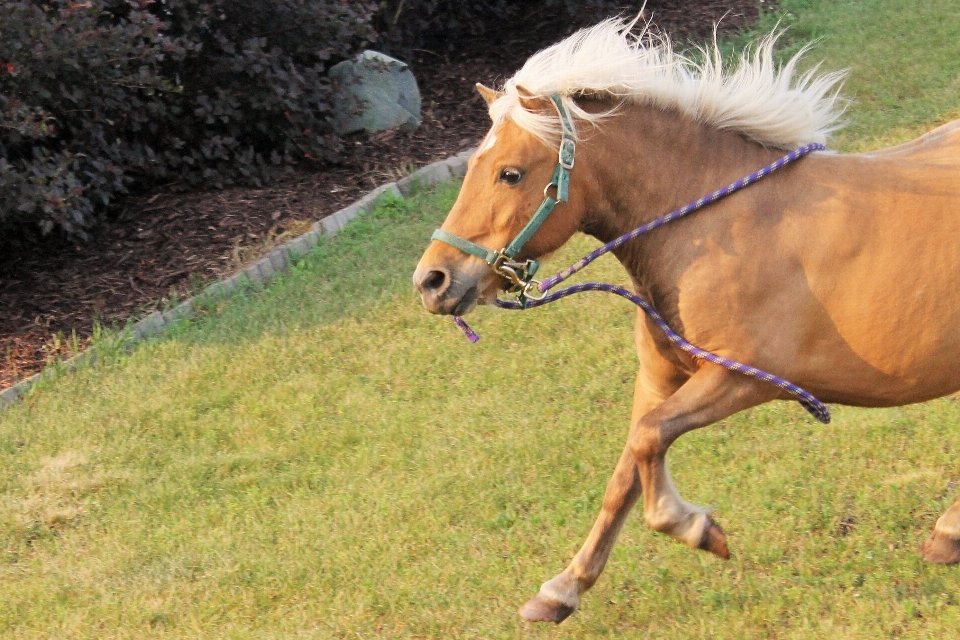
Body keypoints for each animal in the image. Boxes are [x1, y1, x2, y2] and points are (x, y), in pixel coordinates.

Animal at [410, 18, 960, 620]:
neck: (718, 230)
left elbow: (651, 442)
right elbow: (626, 470)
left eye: (509, 174)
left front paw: (697, 528)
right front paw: (562, 589)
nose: (432, 281)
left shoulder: (745, 379)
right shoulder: (659, 379)